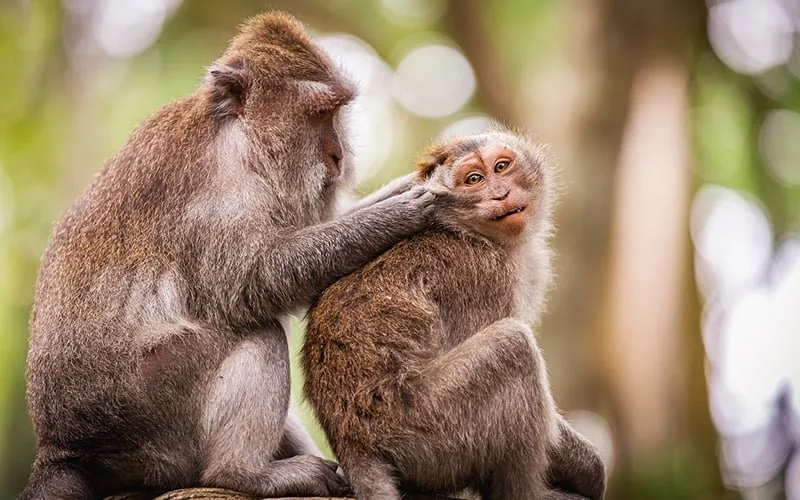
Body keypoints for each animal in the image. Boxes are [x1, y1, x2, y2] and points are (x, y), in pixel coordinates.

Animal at [22, 12, 448, 500]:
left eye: (337, 112)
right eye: (320, 113)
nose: (338, 156)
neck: (238, 134)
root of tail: (61, 447)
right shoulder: (221, 194)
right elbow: (255, 281)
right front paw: (399, 214)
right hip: (153, 414)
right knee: (258, 333)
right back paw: (242, 473)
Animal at [302, 130, 607, 500]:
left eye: (501, 167)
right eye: (474, 180)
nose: (500, 193)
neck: (470, 232)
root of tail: (354, 445)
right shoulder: (486, 278)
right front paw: (587, 467)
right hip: (427, 432)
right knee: (514, 346)